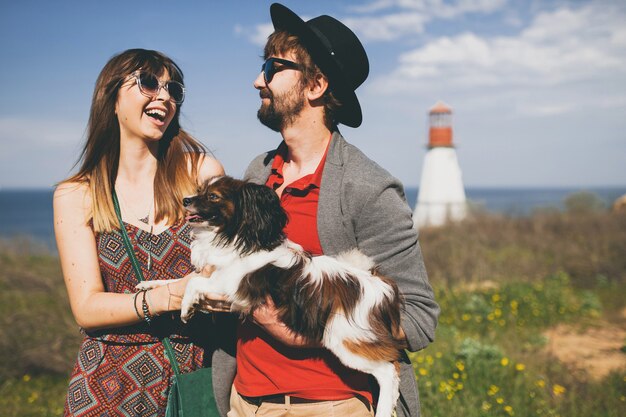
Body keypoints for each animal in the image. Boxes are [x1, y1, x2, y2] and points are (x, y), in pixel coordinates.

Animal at [138, 176, 404, 416]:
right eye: (199, 190)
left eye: (213, 196)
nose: (186, 200)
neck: (235, 238)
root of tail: (382, 289)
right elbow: (179, 281)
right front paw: (151, 286)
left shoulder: (232, 289)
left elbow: (193, 282)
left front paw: (186, 307)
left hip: (347, 343)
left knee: (388, 371)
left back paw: (383, 409)